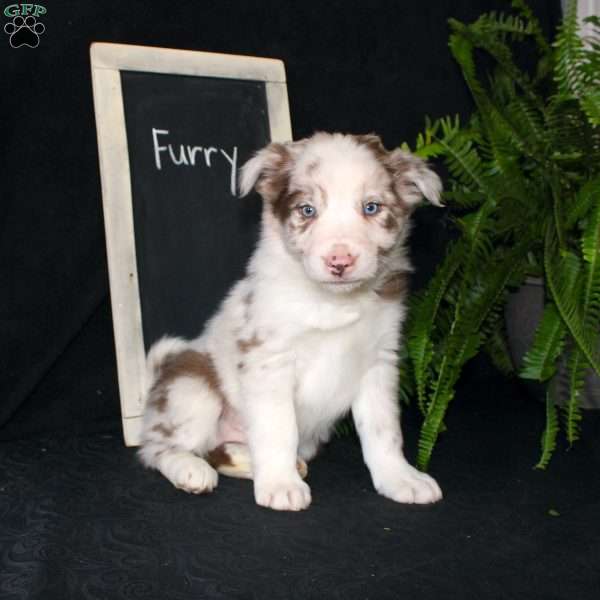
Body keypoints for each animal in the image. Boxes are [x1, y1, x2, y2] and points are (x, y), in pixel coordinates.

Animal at [138, 132, 442, 510]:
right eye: (307, 210)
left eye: (371, 207)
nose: (339, 261)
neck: (332, 301)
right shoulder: (269, 360)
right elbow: (278, 427)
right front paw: (281, 484)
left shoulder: (379, 363)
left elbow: (384, 431)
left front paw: (400, 478)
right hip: (191, 388)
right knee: (157, 447)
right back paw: (190, 469)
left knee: (219, 451)